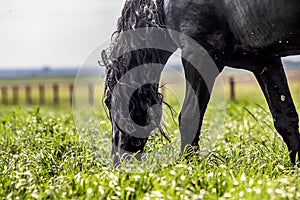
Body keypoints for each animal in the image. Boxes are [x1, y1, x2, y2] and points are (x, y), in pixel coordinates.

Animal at [102, 0, 300, 165]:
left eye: (108, 102)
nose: (118, 161)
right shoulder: (265, 62)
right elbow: (285, 118)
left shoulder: (198, 54)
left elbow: (189, 116)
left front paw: (187, 165)